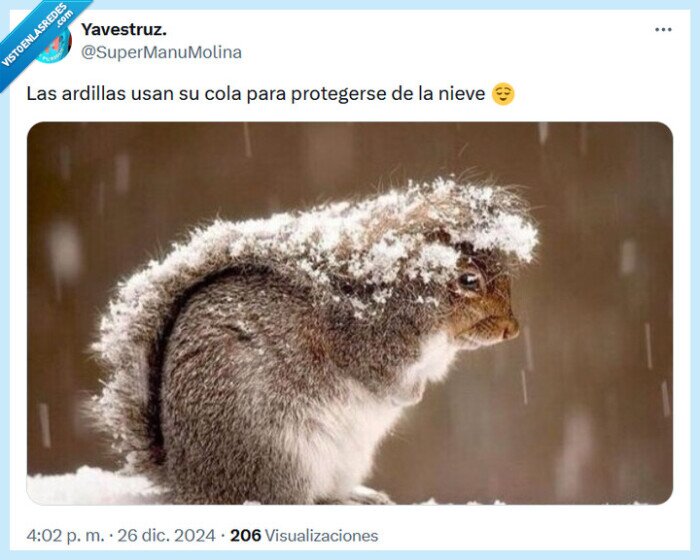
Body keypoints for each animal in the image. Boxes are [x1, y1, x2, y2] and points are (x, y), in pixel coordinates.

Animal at [91, 178, 538, 504]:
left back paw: (357, 497)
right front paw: (410, 395)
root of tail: (189, 483)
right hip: (282, 454)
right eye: (468, 280)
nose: (512, 329)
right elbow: (383, 380)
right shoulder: (367, 344)